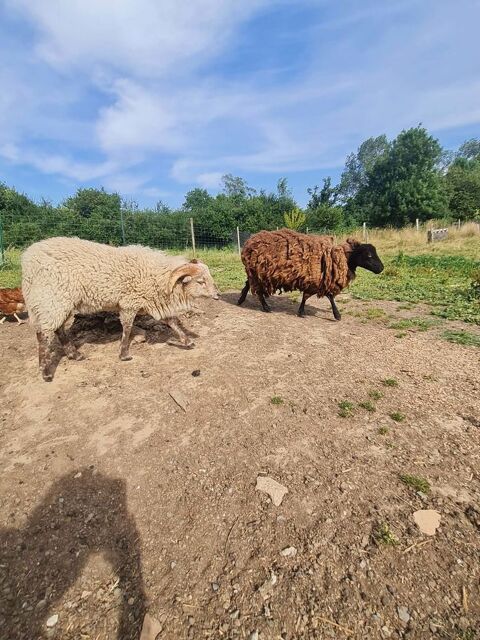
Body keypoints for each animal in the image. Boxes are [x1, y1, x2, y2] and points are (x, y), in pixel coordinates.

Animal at [22, 237, 219, 381]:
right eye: (201, 281)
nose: (217, 295)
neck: (157, 276)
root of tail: (27, 260)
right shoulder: (129, 302)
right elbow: (127, 327)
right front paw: (124, 354)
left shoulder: (151, 300)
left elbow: (172, 322)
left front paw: (187, 341)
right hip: (51, 297)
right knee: (43, 333)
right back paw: (46, 371)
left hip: (60, 301)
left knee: (58, 328)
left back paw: (74, 354)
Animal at [237, 228, 383, 319]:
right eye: (369, 255)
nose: (381, 268)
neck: (336, 257)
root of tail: (248, 243)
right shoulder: (316, 279)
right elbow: (322, 296)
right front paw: (337, 315)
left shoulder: (318, 279)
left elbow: (314, 297)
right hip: (258, 274)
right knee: (258, 291)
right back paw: (266, 307)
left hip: (256, 272)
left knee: (248, 283)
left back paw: (241, 300)